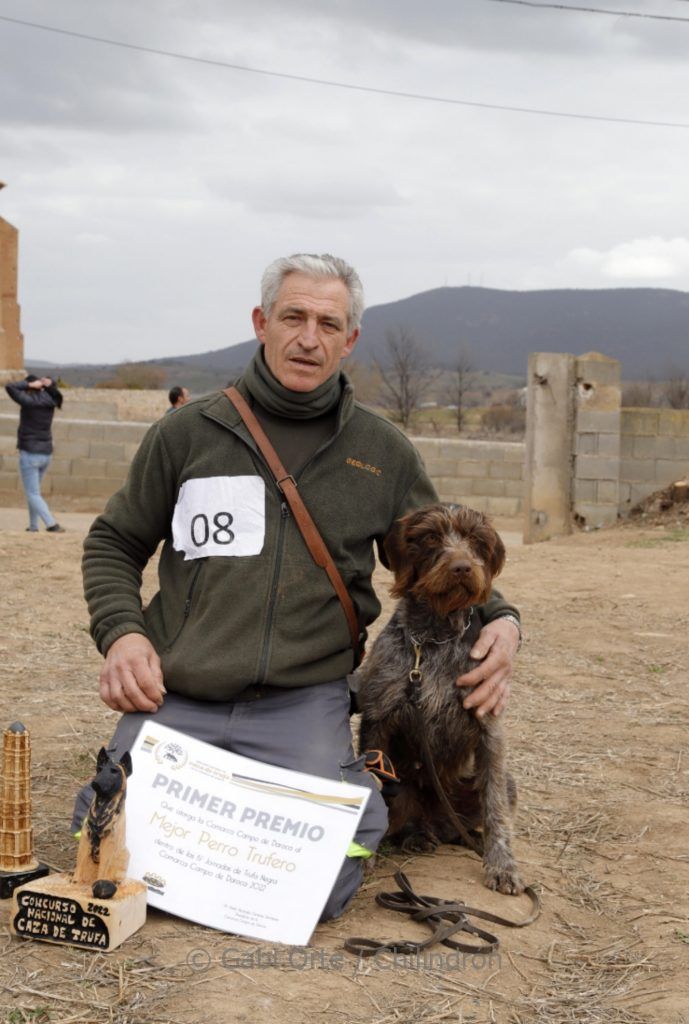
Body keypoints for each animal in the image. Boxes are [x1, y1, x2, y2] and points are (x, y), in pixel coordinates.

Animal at [354, 503, 522, 897]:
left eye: (475, 538)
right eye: (430, 537)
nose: (462, 567)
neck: (435, 635)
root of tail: (440, 822)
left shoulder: (489, 729)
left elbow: (495, 806)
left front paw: (501, 864)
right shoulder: (378, 719)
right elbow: (372, 788)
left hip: (501, 785)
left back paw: (467, 837)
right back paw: (417, 834)